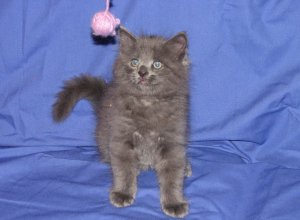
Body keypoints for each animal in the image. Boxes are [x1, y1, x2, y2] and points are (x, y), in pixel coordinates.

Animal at [52, 26, 191, 217]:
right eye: (134, 61)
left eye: (157, 64)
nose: (142, 72)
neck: (147, 102)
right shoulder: (121, 135)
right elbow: (123, 168)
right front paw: (123, 193)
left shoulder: (173, 138)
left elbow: (173, 173)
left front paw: (174, 202)